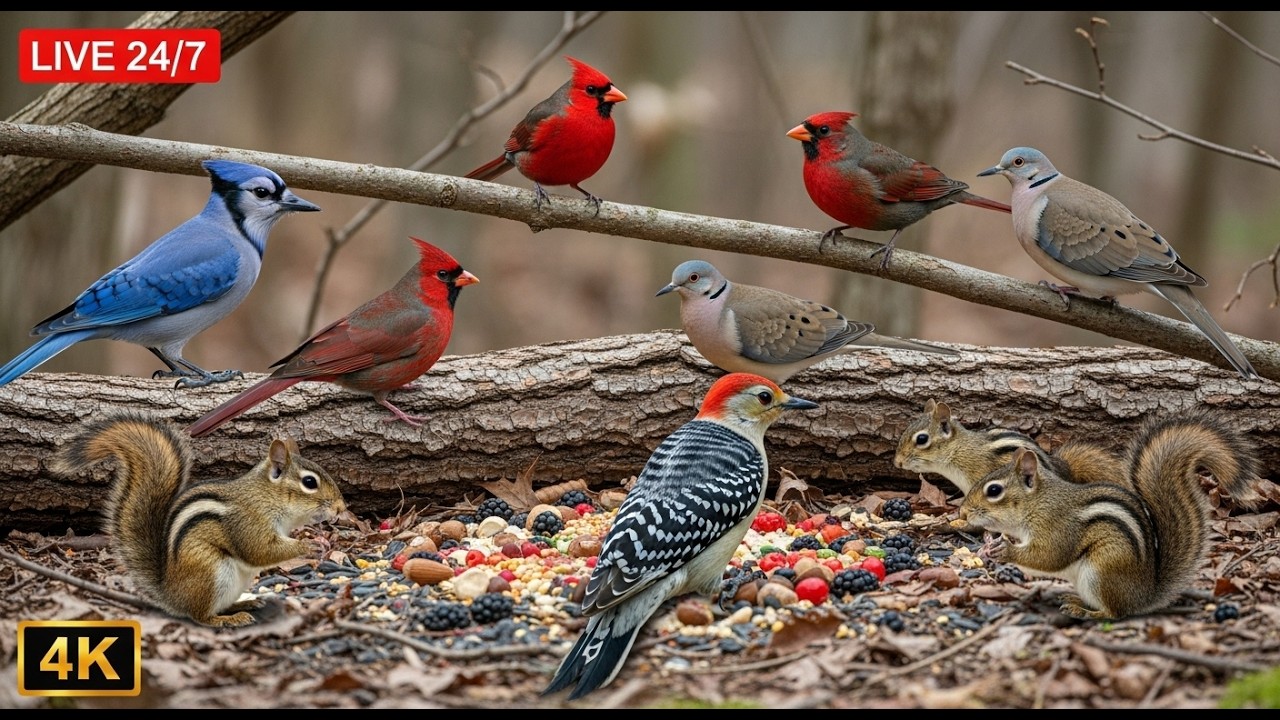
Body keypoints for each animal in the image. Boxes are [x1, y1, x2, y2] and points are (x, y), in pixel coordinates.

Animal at [49, 411, 347, 628]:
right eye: (310, 482)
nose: (341, 508)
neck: (266, 496)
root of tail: (169, 593)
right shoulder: (247, 522)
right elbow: (260, 550)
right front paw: (309, 546)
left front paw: (323, 538)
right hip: (211, 573)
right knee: (200, 616)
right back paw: (230, 619)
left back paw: (244, 604)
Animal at [959, 409, 1262, 620]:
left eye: (994, 490)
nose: (962, 510)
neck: (1039, 502)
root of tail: (1146, 595)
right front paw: (990, 546)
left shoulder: (1058, 527)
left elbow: (1049, 556)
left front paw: (1005, 551)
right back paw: (1074, 600)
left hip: (1102, 572)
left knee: (1115, 613)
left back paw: (1085, 612)